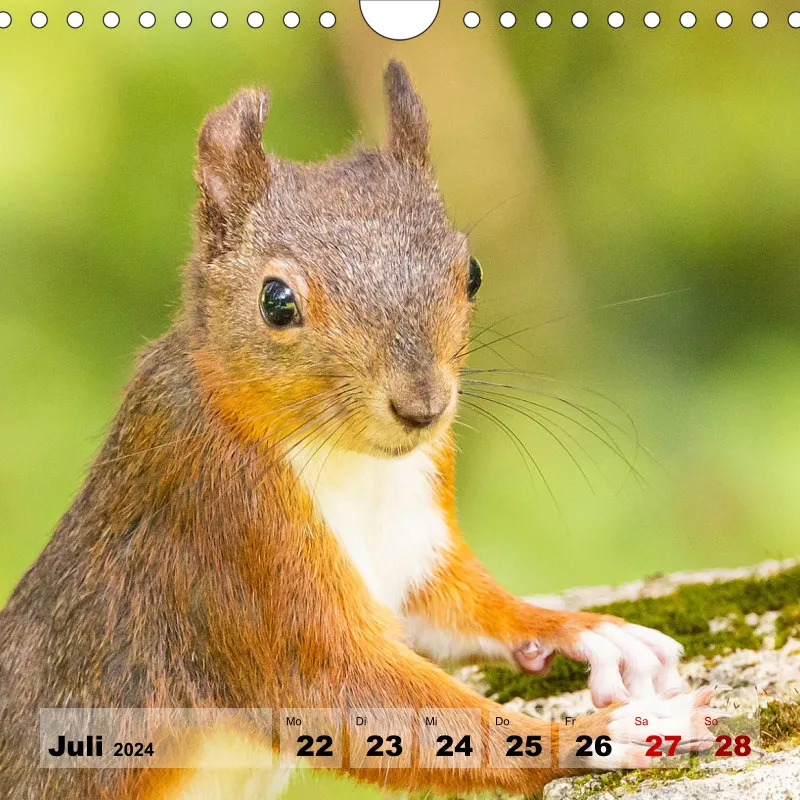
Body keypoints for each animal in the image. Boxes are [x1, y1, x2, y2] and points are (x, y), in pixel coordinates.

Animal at [0, 61, 713, 799]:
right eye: (276, 300)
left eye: (472, 272)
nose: (422, 407)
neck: (355, 462)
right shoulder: (224, 531)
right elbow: (338, 687)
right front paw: (598, 735)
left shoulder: (414, 534)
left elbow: (455, 603)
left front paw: (592, 630)